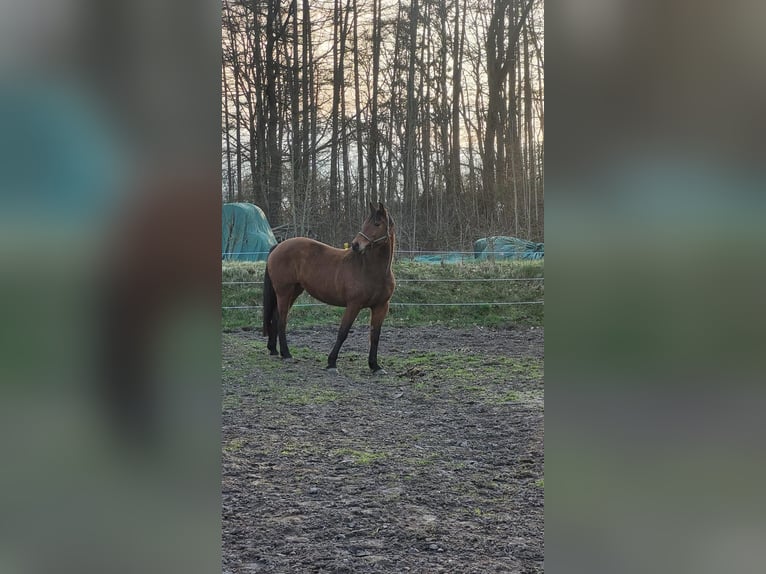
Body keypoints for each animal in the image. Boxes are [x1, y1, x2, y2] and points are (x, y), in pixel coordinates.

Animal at [262, 201, 396, 374]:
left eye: (377, 224)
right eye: (365, 223)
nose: (356, 245)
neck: (371, 270)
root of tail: (277, 246)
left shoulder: (381, 307)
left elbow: (375, 336)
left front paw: (375, 366)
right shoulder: (354, 305)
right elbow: (343, 332)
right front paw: (331, 363)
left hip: (294, 291)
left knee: (276, 316)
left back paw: (274, 349)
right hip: (284, 292)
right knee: (282, 320)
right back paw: (286, 354)